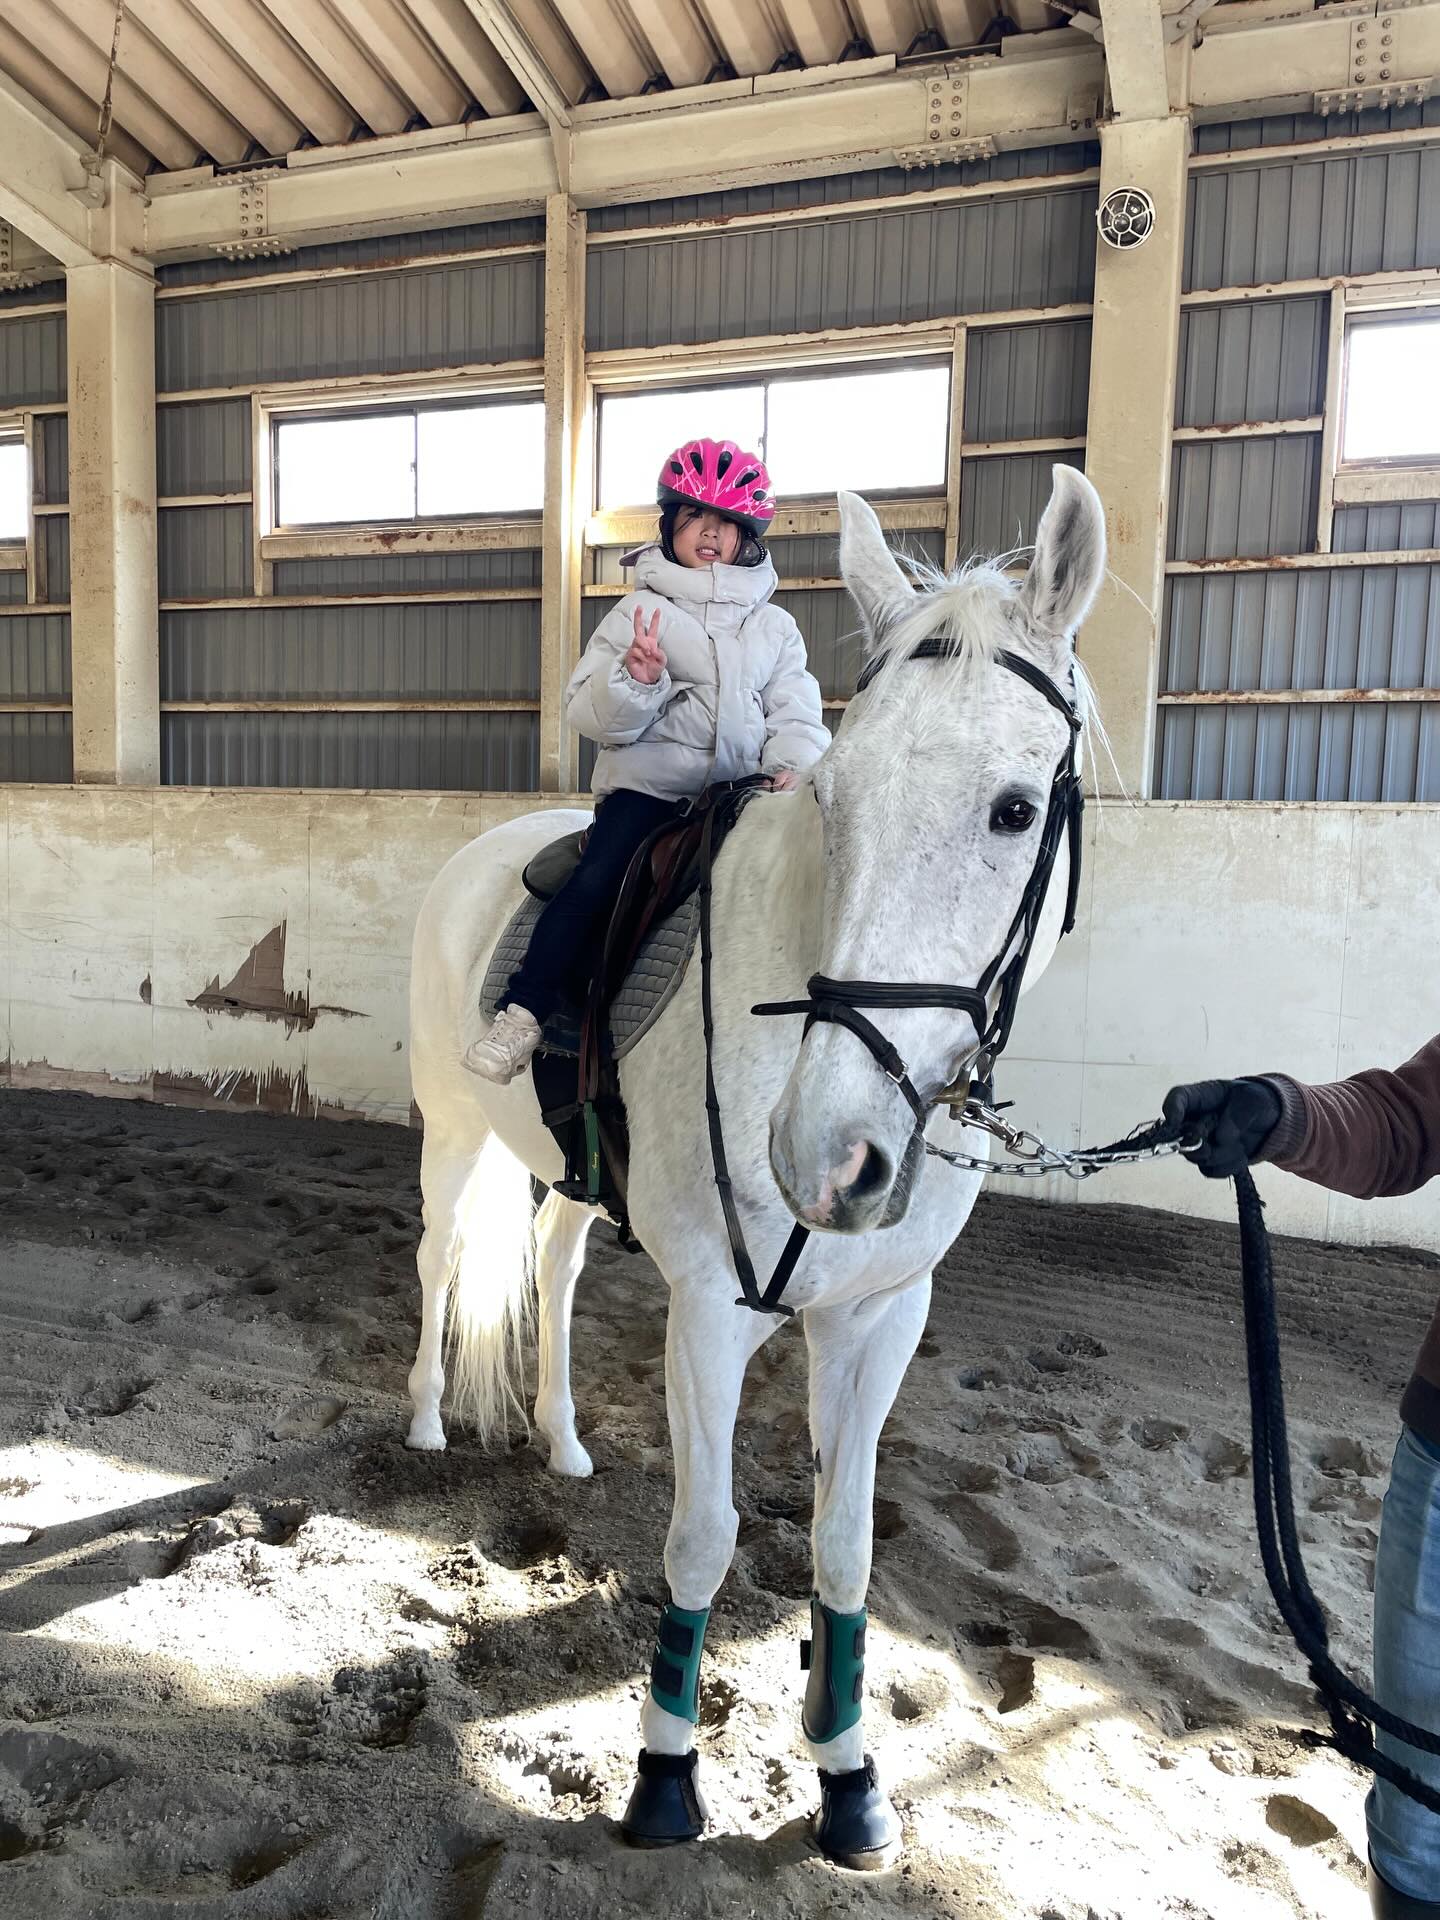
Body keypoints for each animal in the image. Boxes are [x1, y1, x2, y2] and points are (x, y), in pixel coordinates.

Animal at [404, 465, 1107, 1868]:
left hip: (575, 1186)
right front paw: (664, 1775)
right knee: (440, 1259)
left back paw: (562, 1441)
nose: (824, 1156)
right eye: (836, 799)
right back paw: (425, 1418)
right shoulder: (712, 1312)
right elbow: (703, 1538)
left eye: (1014, 809)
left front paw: (849, 1781)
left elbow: (842, 1550)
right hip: (453, 1138)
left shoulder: (881, 1318)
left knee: (553, 1274)